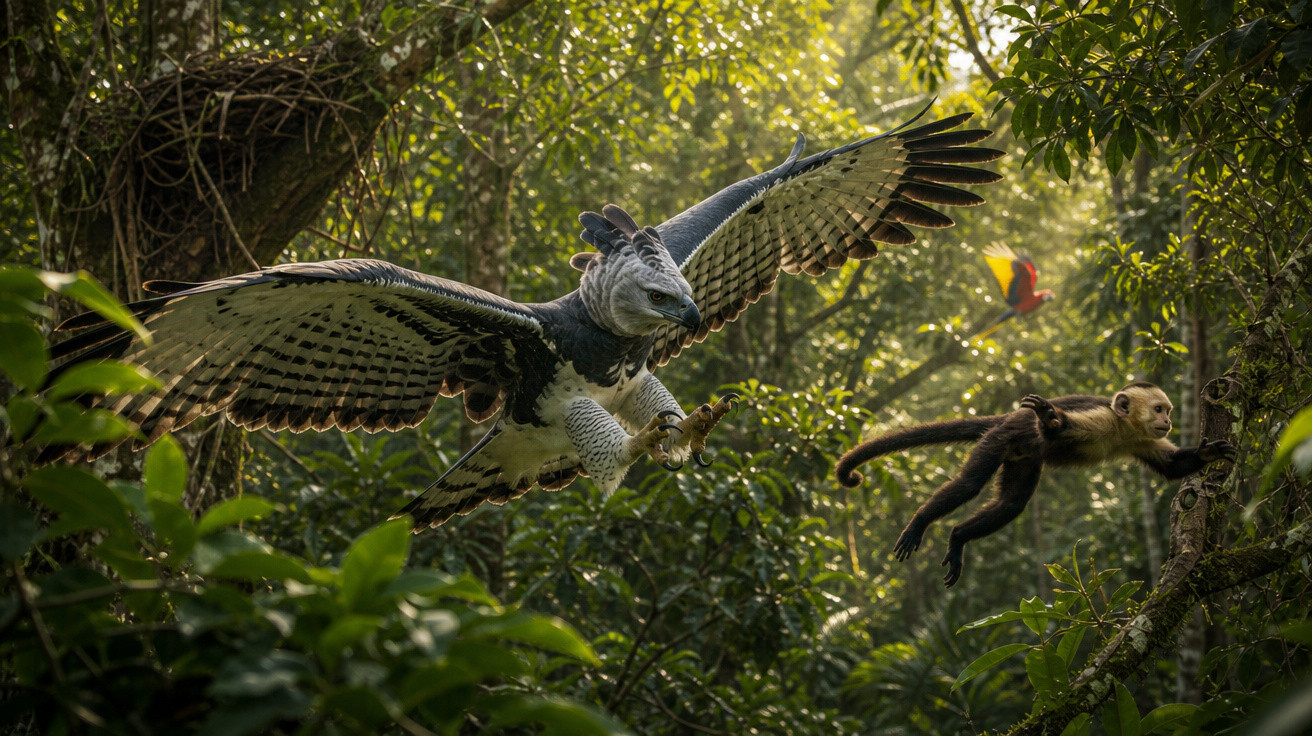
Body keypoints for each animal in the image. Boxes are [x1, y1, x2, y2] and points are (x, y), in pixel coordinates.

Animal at [834, 382, 1236, 588]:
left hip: (1021, 457)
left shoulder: (1141, 439)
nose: (1168, 421)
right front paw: (1049, 416)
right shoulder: (1102, 418)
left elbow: (1172, 467)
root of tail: (1007, 418)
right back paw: (920, 523)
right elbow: (1056, 427)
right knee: (969, 485)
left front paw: (1210, 452)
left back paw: (958, 537)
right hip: (1003, 437)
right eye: (1158, 409)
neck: (1123, 427)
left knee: (1011, 505)